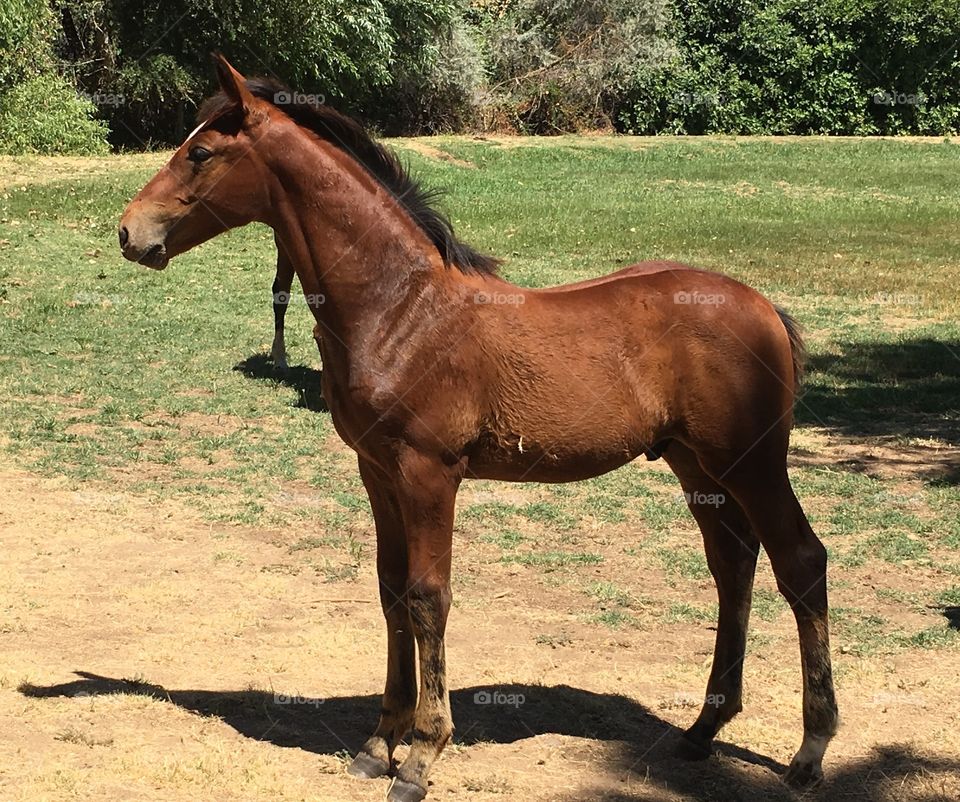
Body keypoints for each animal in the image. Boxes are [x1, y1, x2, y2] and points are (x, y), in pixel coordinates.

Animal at [118, 55, 838, 802]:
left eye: (201, 152)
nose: (128, 232)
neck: (401, 307)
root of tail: (763, 305)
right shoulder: (376, 470)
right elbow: (390, 591)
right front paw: (379, 742)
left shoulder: (429, 473)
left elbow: (428, 597)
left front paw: (421, 755)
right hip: (696, 465)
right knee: (734, 564)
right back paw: (701, 731)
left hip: (752, 463)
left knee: (800, 562)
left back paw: (809, 750)